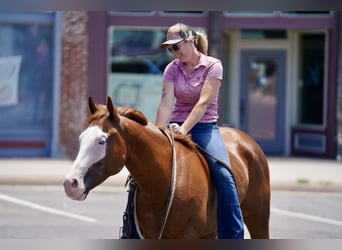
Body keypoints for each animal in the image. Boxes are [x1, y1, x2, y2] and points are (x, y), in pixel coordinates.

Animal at [64, 95, 270, 238]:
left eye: (102, 140)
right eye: (81, 138)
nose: (70, 183)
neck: (164, 181)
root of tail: (248, 141)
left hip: (258, 220)